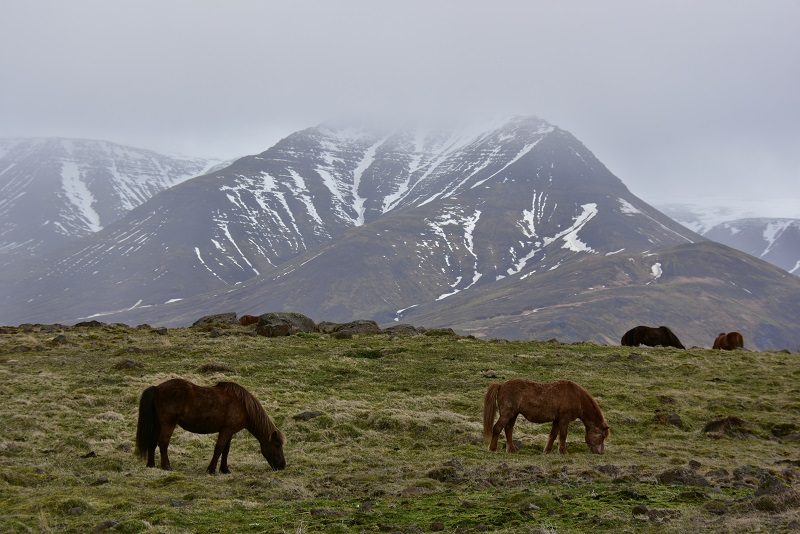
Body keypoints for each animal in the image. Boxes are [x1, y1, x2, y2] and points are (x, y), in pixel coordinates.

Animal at [136, 378, 286, 476]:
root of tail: (157, 388)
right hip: (168, 424)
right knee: (163, 443)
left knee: (153, 442)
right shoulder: (226, 430)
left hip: (158, 424)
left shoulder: (229, 431)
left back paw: (151, 465)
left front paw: (225, 469)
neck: (243, 406)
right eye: (277, 445)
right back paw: (166, 466)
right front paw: (212, 470)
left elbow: (226, 450)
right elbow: (219, 449)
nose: (282, 466)